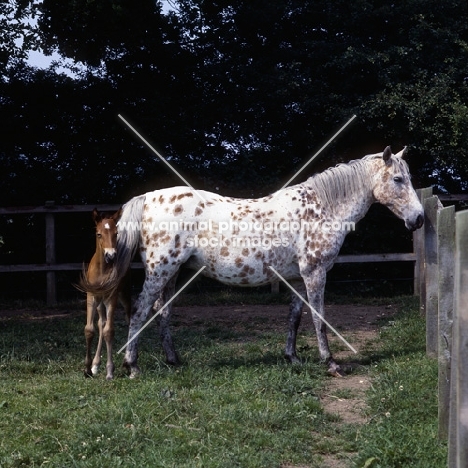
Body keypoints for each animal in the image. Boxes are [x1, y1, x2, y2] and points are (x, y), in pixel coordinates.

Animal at [85, 146, 424, 376]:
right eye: (397, 179)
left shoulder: (298, 276)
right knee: (141, 310)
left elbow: (295, 317)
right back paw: (132, 365)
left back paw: (173, 360)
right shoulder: (315, 273)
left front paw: (292, 357)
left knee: (162, 312)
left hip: (173, 273)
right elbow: (319, 317)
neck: (322, 208)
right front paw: (330, 363)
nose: (418, 219)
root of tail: (148, 199)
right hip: (160, 271)